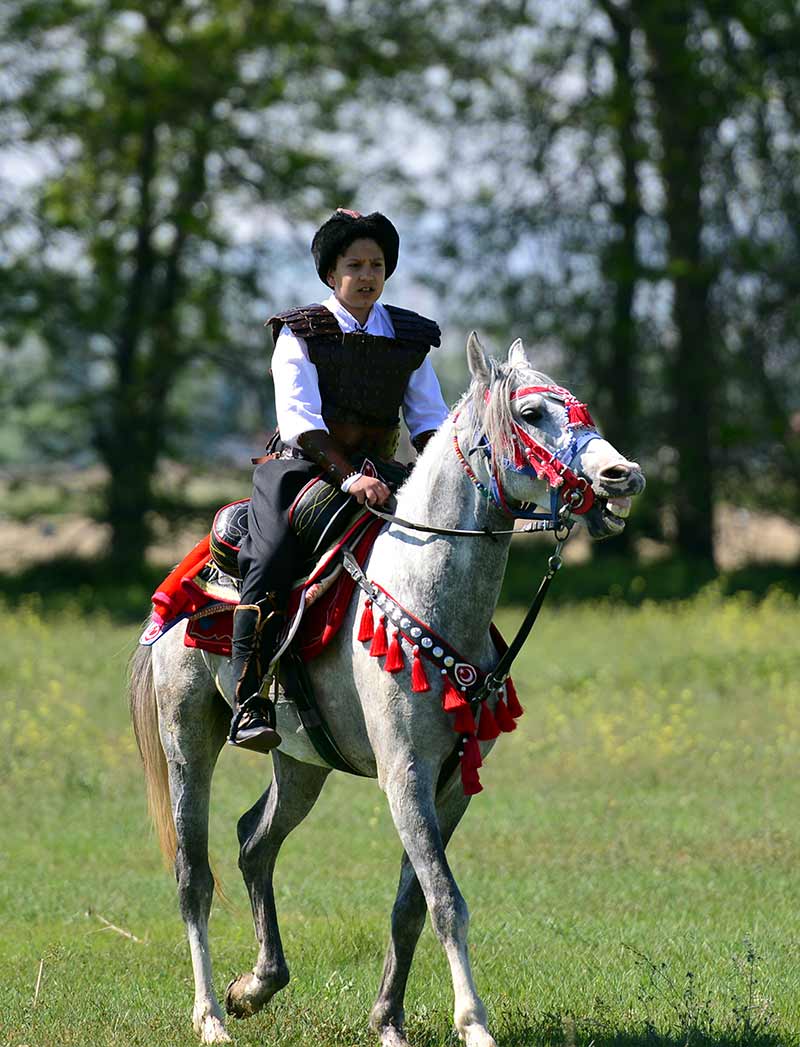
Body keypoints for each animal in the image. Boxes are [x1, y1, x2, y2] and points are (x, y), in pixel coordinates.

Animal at [129, 335, 645, 1047]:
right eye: (532, 414)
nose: (624, 477)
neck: (424, 588)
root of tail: (189, 571)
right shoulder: (405, 775)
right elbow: (447, 901)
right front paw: (474, 1025)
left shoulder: (451, 786)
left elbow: (413, 904)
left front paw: (389, 1022)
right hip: (188, 742)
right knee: (193, 875)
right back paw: (211, 1015)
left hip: (301, 762)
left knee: (255, 842)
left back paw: (255, 986)